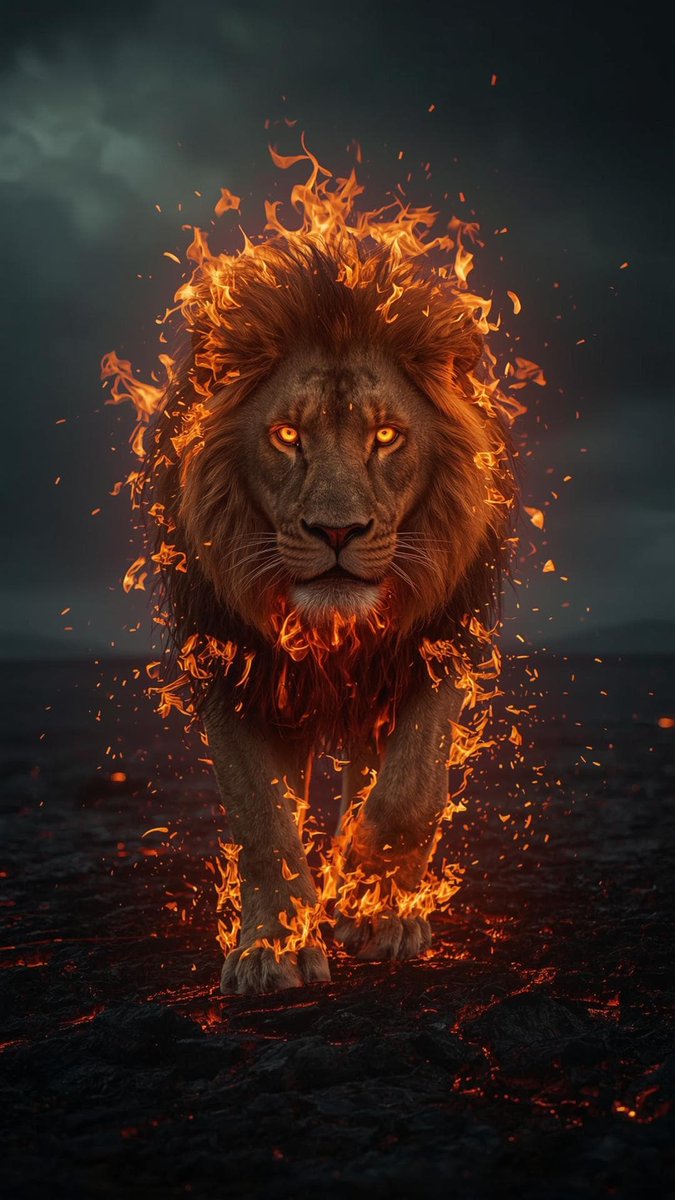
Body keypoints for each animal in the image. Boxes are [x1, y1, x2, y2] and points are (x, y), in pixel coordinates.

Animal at [132, 217, 517, 996]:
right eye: (287, 436)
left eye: (386, 436)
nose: (337, 532)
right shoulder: (232, 670)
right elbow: (263, 824)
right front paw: (272, 947)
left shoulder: (433, 650)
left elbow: (406, 796)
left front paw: (374, 911)